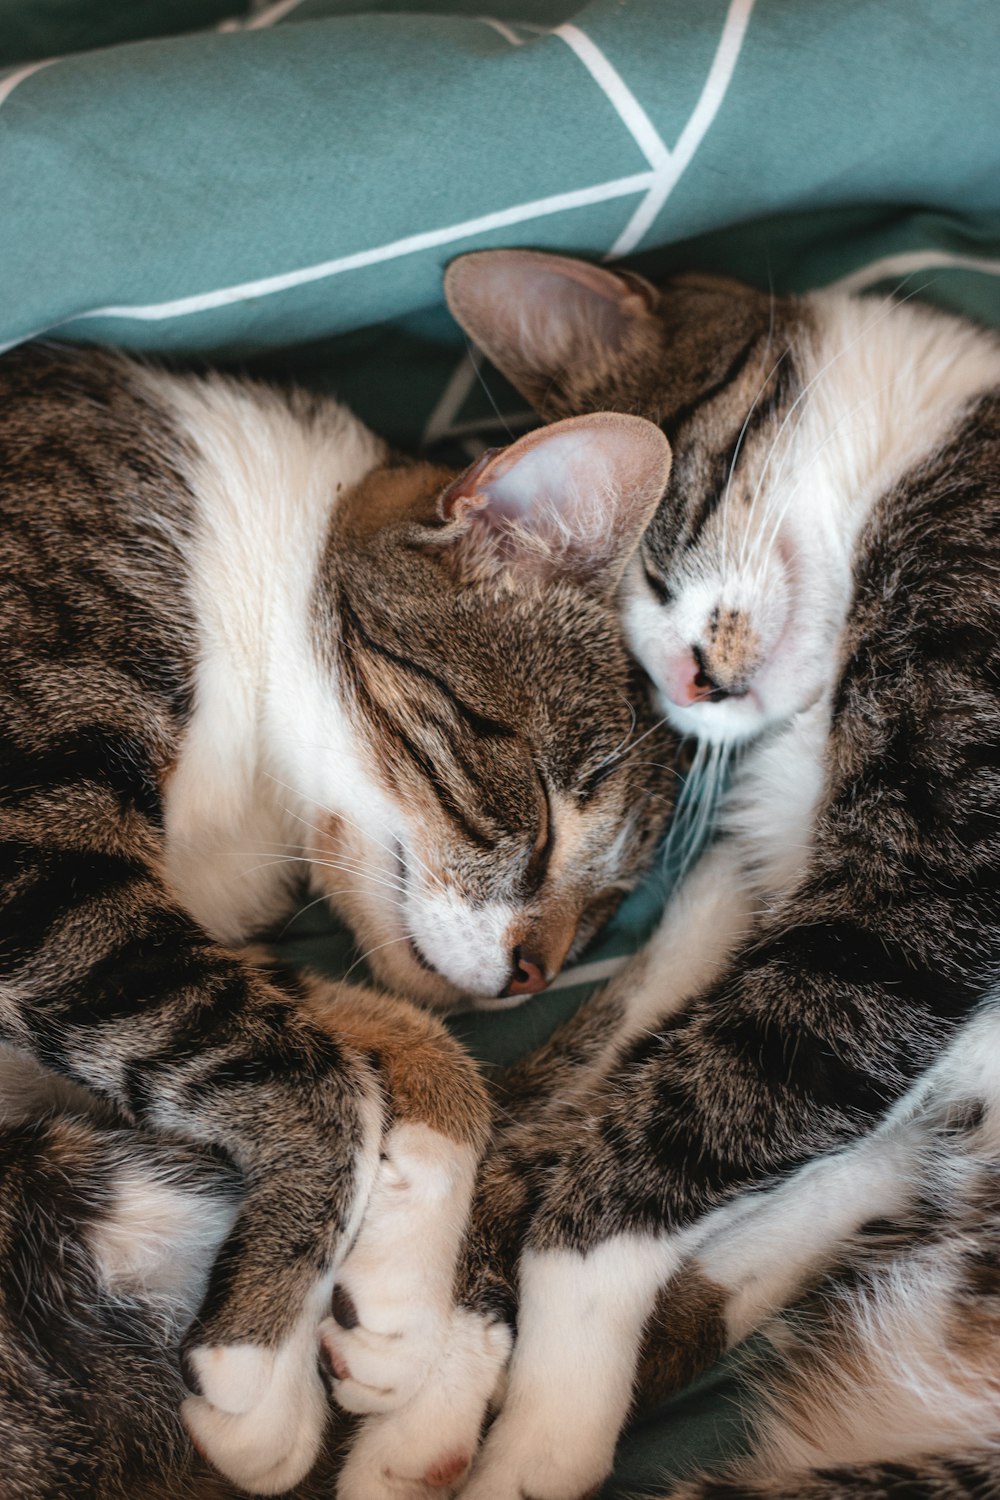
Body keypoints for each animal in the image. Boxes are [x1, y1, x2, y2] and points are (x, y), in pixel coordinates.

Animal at [1, 343, 680, 1500]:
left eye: (602, 911)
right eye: (548, 819)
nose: (533, 977)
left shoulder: (164, 931)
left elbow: (390, 1039)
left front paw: (397, 1314)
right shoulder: (43, 863)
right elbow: (309, 1073)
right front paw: (259, 1371)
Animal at [322, 252, 1000, 1494]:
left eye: (651, 550)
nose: (692, 684)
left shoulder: (921, 887)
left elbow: (653, 1148)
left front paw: (540, 1433)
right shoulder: (743, 908)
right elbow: (567, 1106)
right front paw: (425, 1401)